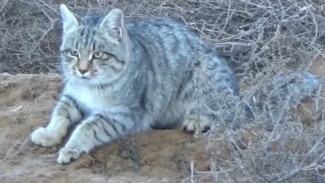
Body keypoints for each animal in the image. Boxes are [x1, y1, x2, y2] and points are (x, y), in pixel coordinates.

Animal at [30, 3, 318, 164]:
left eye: (98, 54)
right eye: (73, 52)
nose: (81, 70)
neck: (91, 88)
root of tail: (238, 94)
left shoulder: (124, 114)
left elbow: (88, 127)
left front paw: (71, 147)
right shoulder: (73, 95)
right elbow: (60, 113)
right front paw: (49, 133)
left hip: (203, 78)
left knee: (226, 114)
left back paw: (197, 119)